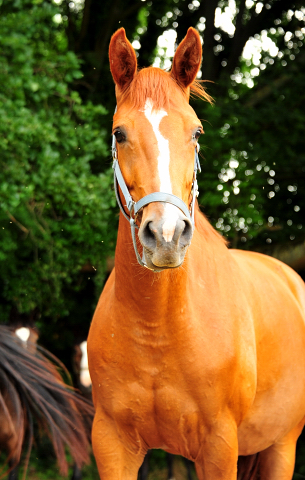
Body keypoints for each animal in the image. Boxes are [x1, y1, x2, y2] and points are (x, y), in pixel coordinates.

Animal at [86, 28, 305, 480]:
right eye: (119, 133)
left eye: (197, 132)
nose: (166, 234)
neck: (158, 325)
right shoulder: (111, 444)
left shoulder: (219, 447)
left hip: (283, 446)